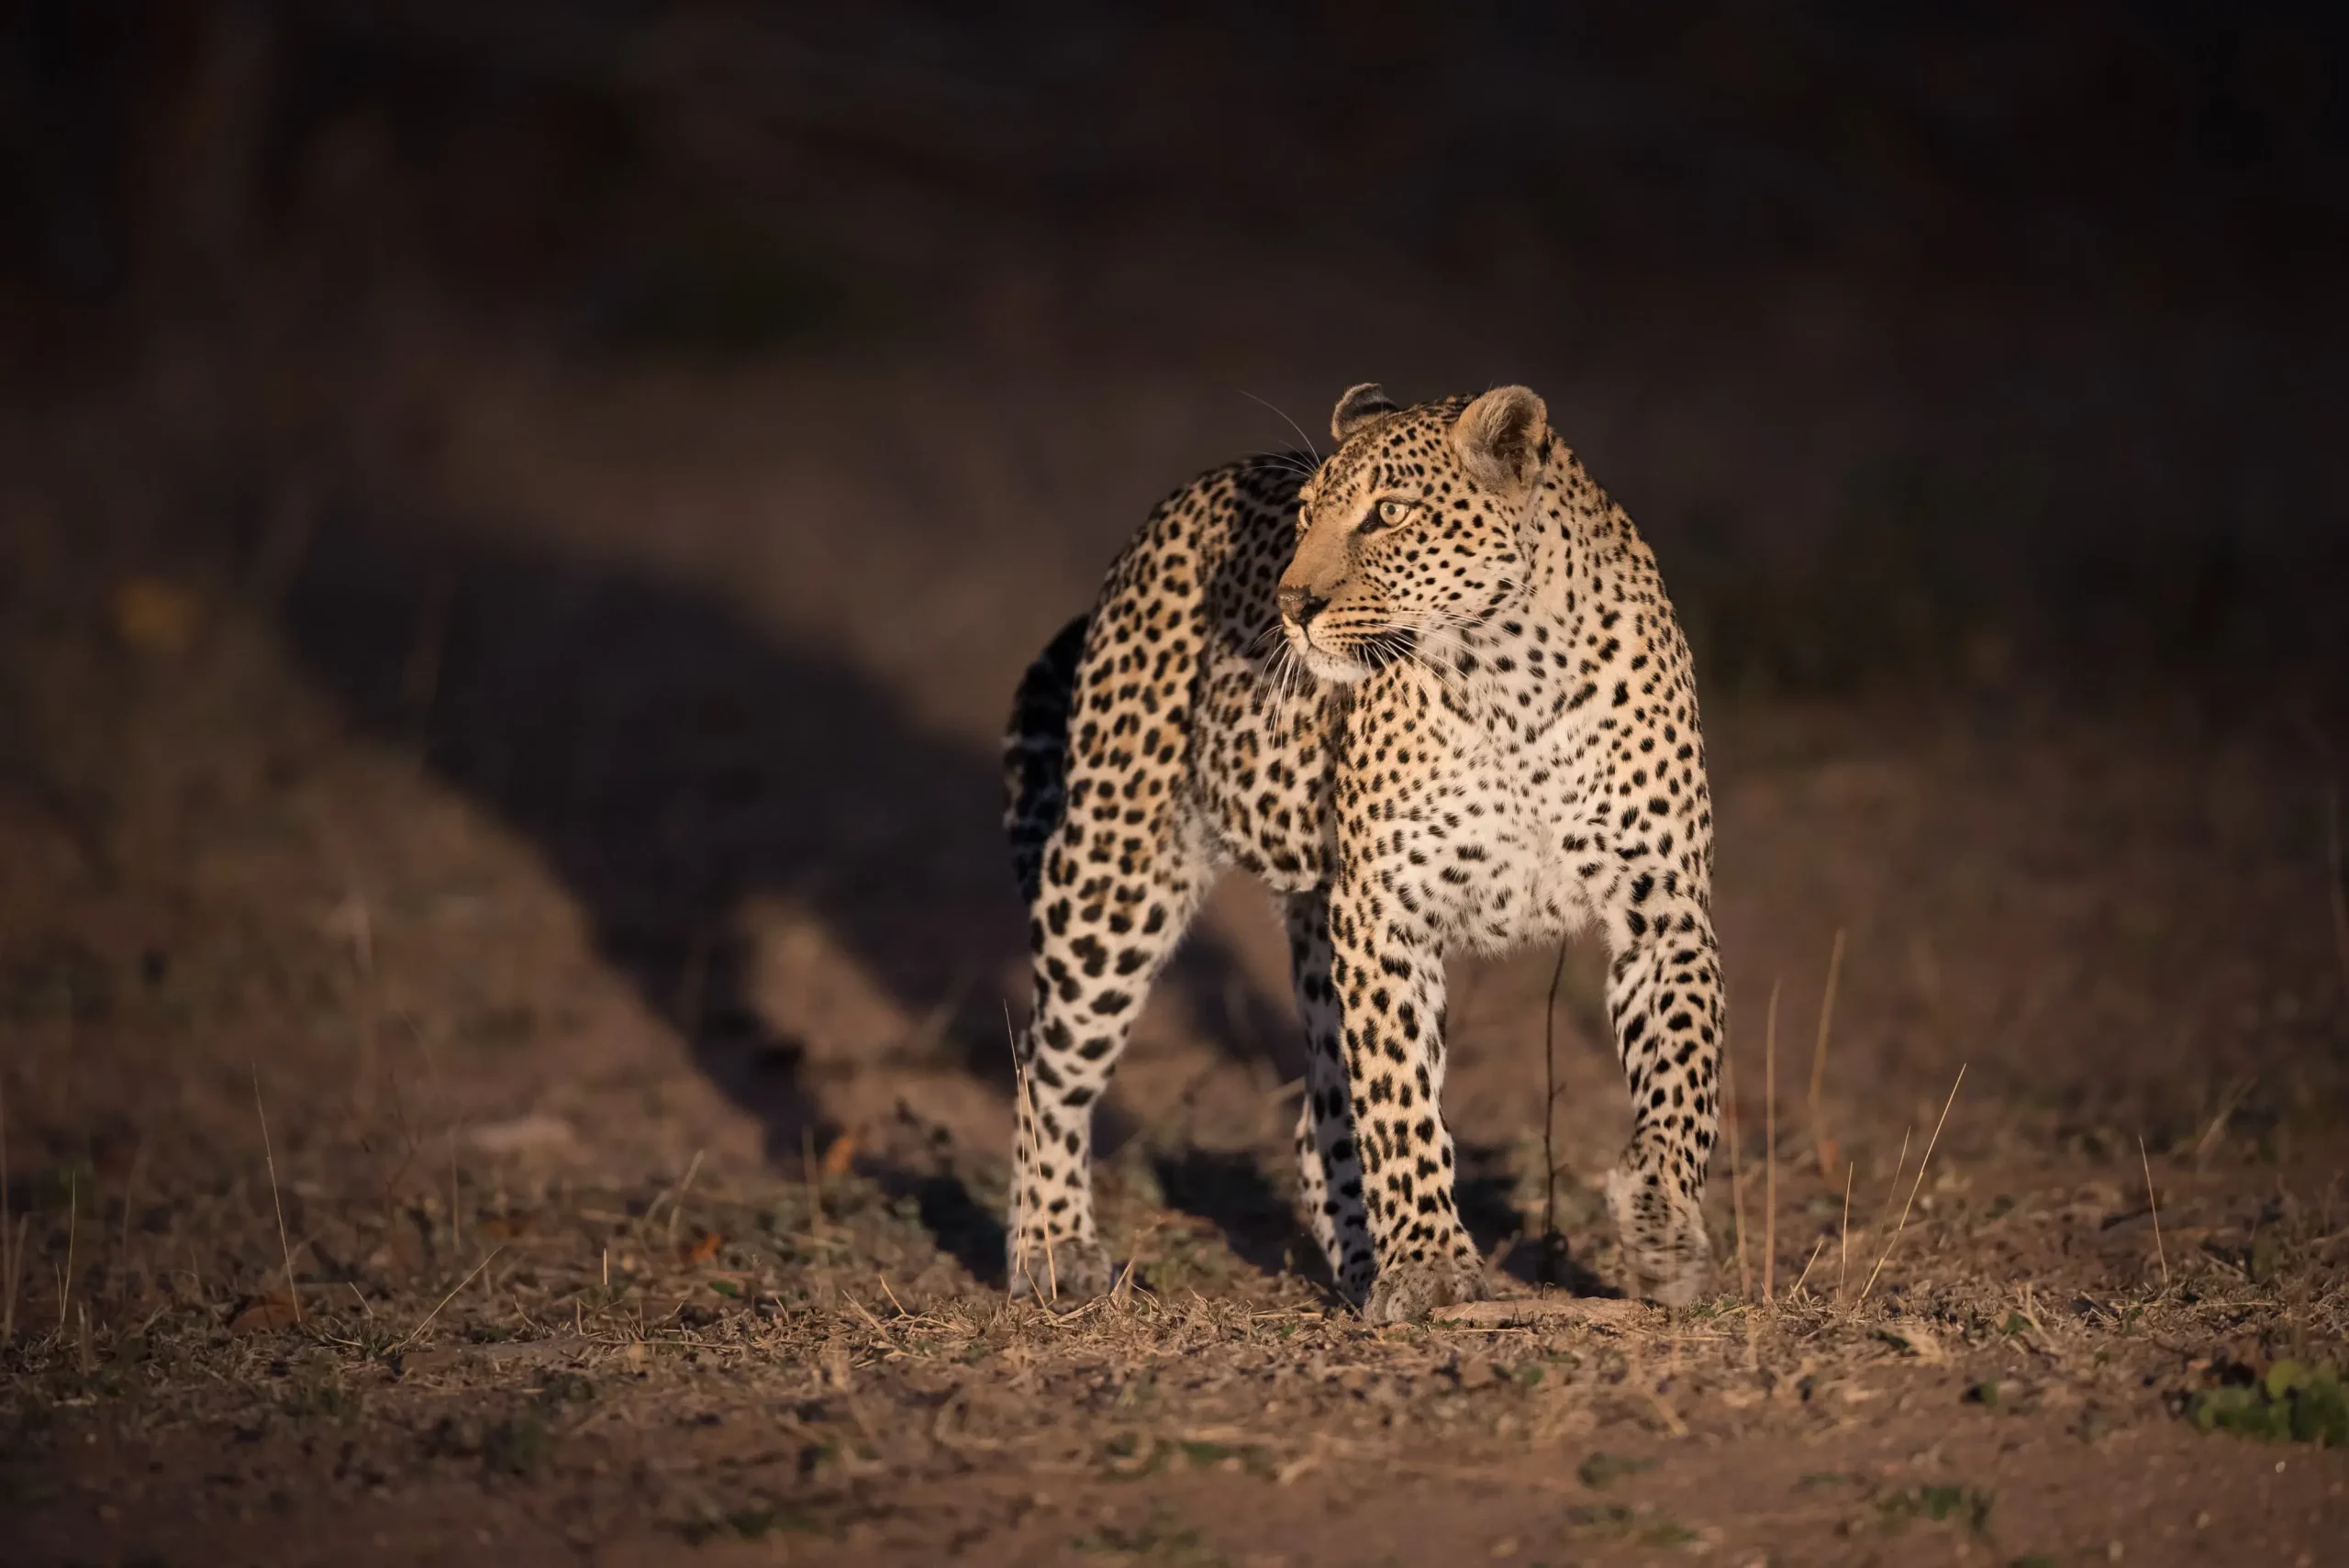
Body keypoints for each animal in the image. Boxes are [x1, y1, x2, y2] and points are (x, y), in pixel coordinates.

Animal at [996, 383, 1729, 1323]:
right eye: (1309, 514)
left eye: (1389, 514)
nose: (1292, 605)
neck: (1511, 677)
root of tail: (1174, 505)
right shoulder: (1384, 909)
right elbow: (1400, 1100)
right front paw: (1430, 1265)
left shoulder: (1663, 905)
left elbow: (1682, 1072)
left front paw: (1662, 1224)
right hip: (1115, 876)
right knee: (1047, 1067)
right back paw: (1052, 1248)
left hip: (1309, 920)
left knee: (1317, 1121)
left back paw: (1353, 1261)